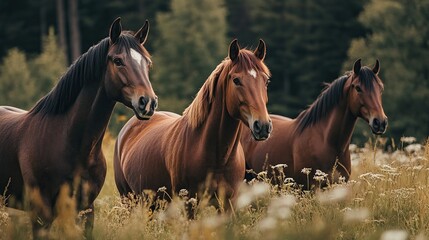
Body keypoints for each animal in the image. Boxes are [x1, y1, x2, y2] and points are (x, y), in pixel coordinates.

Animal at [113, 38, 270, 211]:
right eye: (236, 80)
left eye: (266, 81)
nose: (262, 126)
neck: (218, 158)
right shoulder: (189, 204)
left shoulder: (228, 206)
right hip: (130, 201)